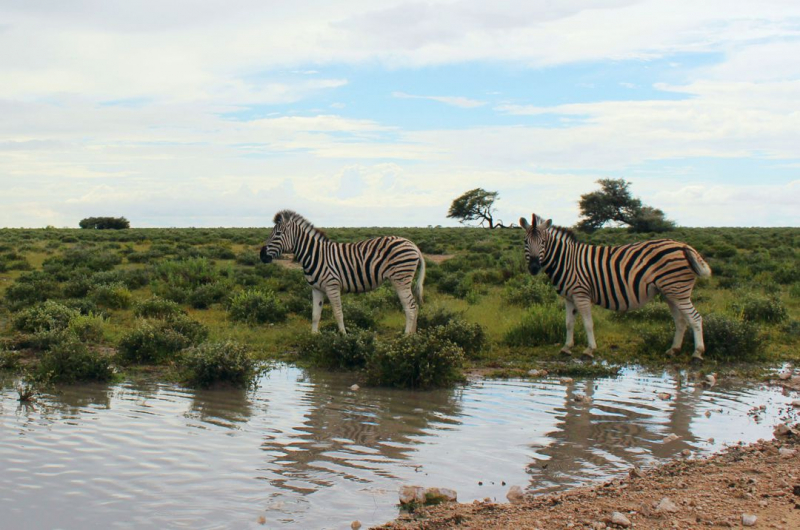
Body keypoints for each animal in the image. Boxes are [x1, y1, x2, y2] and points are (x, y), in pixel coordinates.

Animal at [260, 208, 424, 332]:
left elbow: (338, 313)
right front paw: (313, 337)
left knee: (410, 307)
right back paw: (413, 336)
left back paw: (406, 337)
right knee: (414, 306)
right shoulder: (316, 289)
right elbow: (315, 315)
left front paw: (343, 336)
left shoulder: (332, 286)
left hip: (400, 279)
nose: (262, 256)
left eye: (277, 234)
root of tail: (413, 245)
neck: (315, 255)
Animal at [520, 212, 712, 360]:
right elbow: (568, 323)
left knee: (695, 318)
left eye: (543, 243)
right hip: (670, 293)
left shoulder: (581, 294)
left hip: (678, 291)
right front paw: (566, 348)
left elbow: (588, 324)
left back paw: (697, 353)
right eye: (525, 242)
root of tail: (684, 246)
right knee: (681, 320)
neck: (566, 260)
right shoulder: (569, 297)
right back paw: (673, 350)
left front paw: (589, 350)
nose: (534, 268)